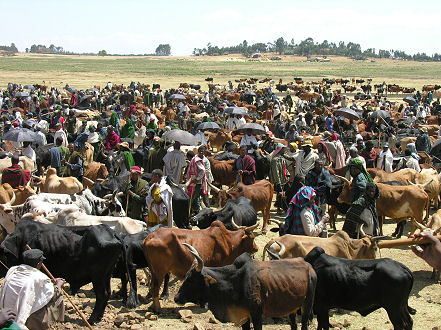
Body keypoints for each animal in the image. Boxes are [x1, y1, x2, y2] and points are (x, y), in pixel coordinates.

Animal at [174, 248, 314, 330]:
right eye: (186, 277)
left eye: (192, 280)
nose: (176, 298)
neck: (233, 282)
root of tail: (308, 265)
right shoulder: (243, 315)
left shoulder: (256, 313)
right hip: (292, 309)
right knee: (294, 325)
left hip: (306, 306)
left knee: (304, 324)